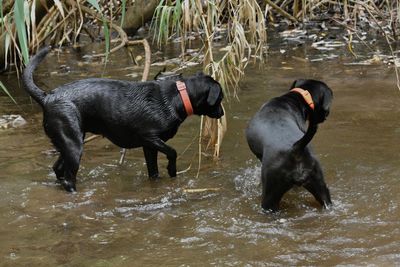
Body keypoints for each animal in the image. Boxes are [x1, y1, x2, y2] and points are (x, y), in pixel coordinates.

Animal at [23, 47, 223, 193]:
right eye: (220, 98)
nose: (221, 113)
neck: (179, 97)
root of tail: (47, 97)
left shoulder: (149, 147)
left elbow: (153, 171)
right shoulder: (149, 138)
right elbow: (172, 152)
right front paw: (172, 169)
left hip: (68, 143)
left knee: (58, 169)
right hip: (73, 146)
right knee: (68, 179)